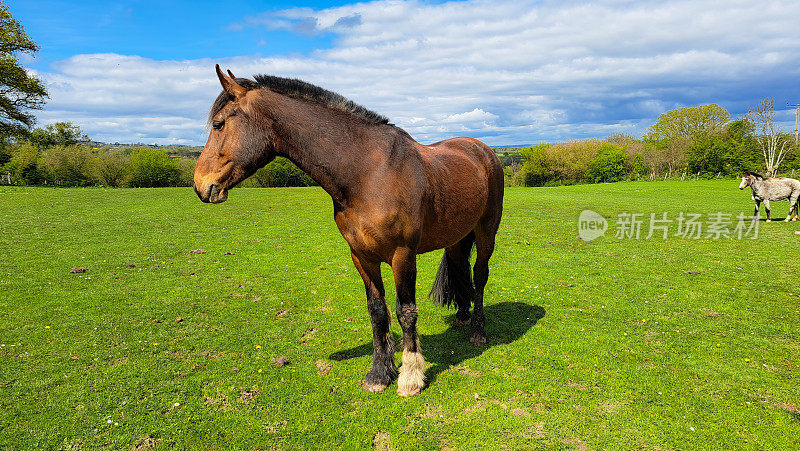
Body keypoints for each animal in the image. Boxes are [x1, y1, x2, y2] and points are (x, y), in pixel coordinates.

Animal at [194, 65, 504, 398]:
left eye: (218, 124)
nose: (200, 185)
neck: (367, 173)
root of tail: (482, 150)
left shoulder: (403, 255)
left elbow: (405, 311)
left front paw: (410, 376)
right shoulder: (361, 255)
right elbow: (377, 311)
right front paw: (380, 373)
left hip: (486, 232)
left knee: (480, 276)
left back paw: (478, 330)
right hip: (457, 237)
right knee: (460, 268)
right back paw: (462, 317)